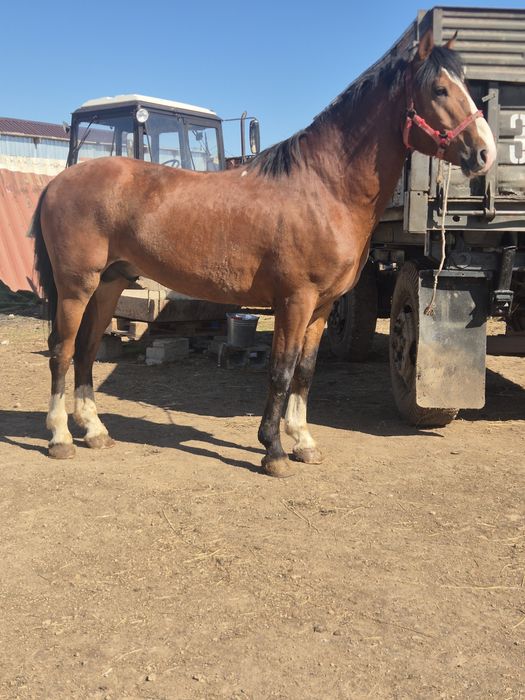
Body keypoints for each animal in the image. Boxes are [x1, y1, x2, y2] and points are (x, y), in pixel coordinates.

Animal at [31, 30, 496, 477]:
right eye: (439, 89)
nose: (486, 153)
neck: (323, 189)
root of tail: (56, 183)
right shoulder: (294, 300)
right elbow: (281, 370)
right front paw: (273, 451)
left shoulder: (322, 307)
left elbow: (305, 371)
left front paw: (304, 443)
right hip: (76, 287)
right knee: (62, 350)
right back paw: (60, 438)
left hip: (109, 284)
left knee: (88, 349)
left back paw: (94, 431)